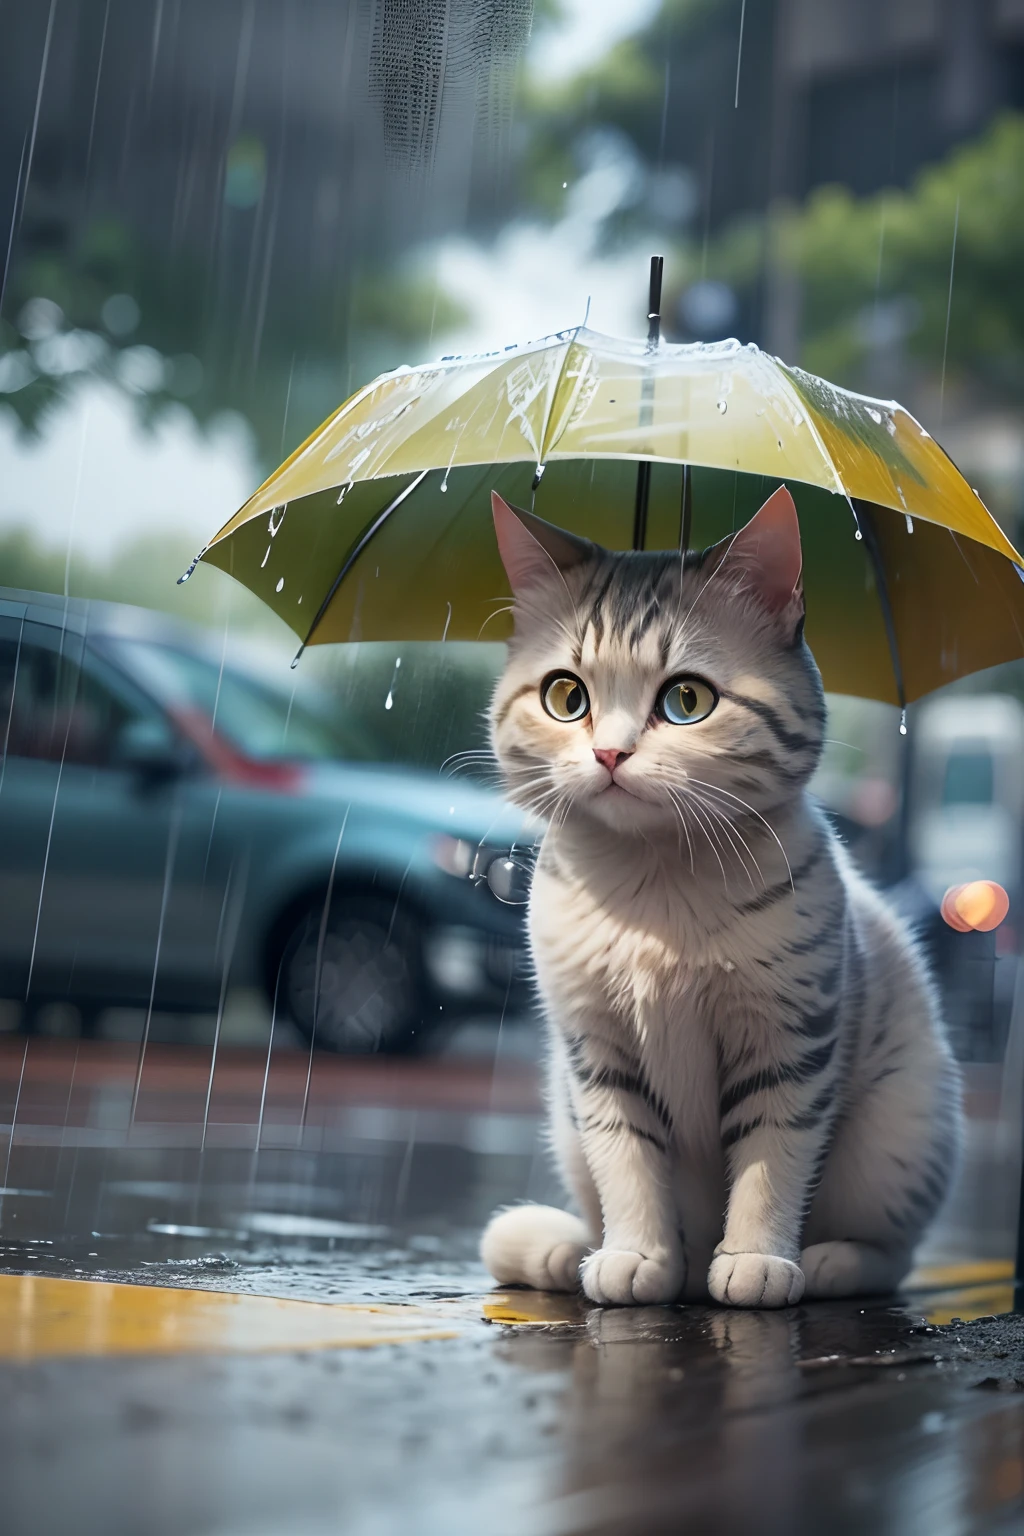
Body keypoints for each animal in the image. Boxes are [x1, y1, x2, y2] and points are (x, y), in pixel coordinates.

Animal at [482, 482, 964, 1308]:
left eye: (686, 700)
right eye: (565, 697)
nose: (609, 754)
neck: (655, 884)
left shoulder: (788, 1039)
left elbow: (772, 1163)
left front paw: (755, 1259)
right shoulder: (596, 1053)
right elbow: (628, 1164)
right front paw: (635, 1256)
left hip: (896, 1135)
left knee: (893, 1256)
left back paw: (824, 1264)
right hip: (564, 1117)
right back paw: (571, 1252)